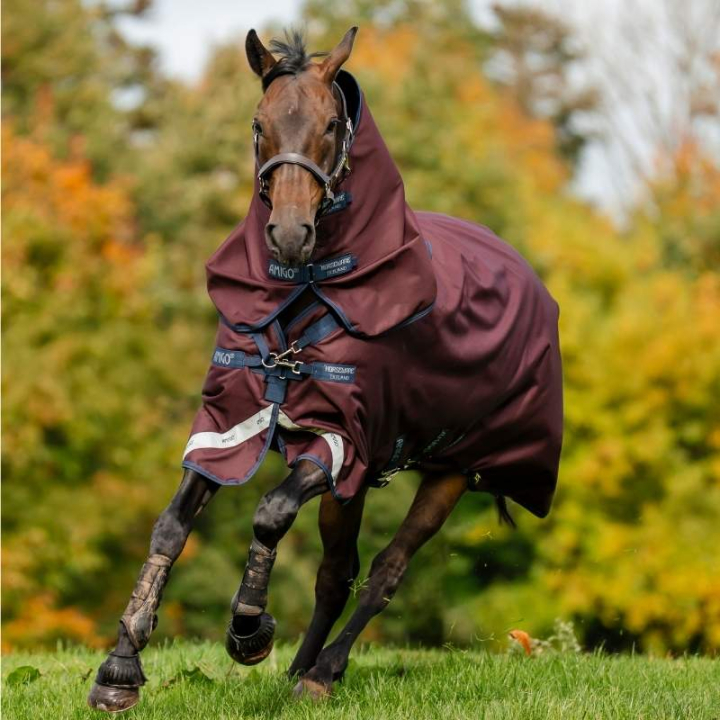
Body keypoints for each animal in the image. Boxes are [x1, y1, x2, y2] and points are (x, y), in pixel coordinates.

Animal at [88, 27, 563, 712]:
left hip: (449, 472)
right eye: (259, 124)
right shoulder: (229, 427)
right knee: (336, 575)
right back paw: (301, 670)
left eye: (333, 124)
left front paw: (248, 630)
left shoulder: (338, 440)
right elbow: (171, 527)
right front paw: (120, 667)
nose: (290, 234)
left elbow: (269, 512)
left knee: (386, 570)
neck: (306, 299)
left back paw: (322, 671)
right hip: (357, 486)